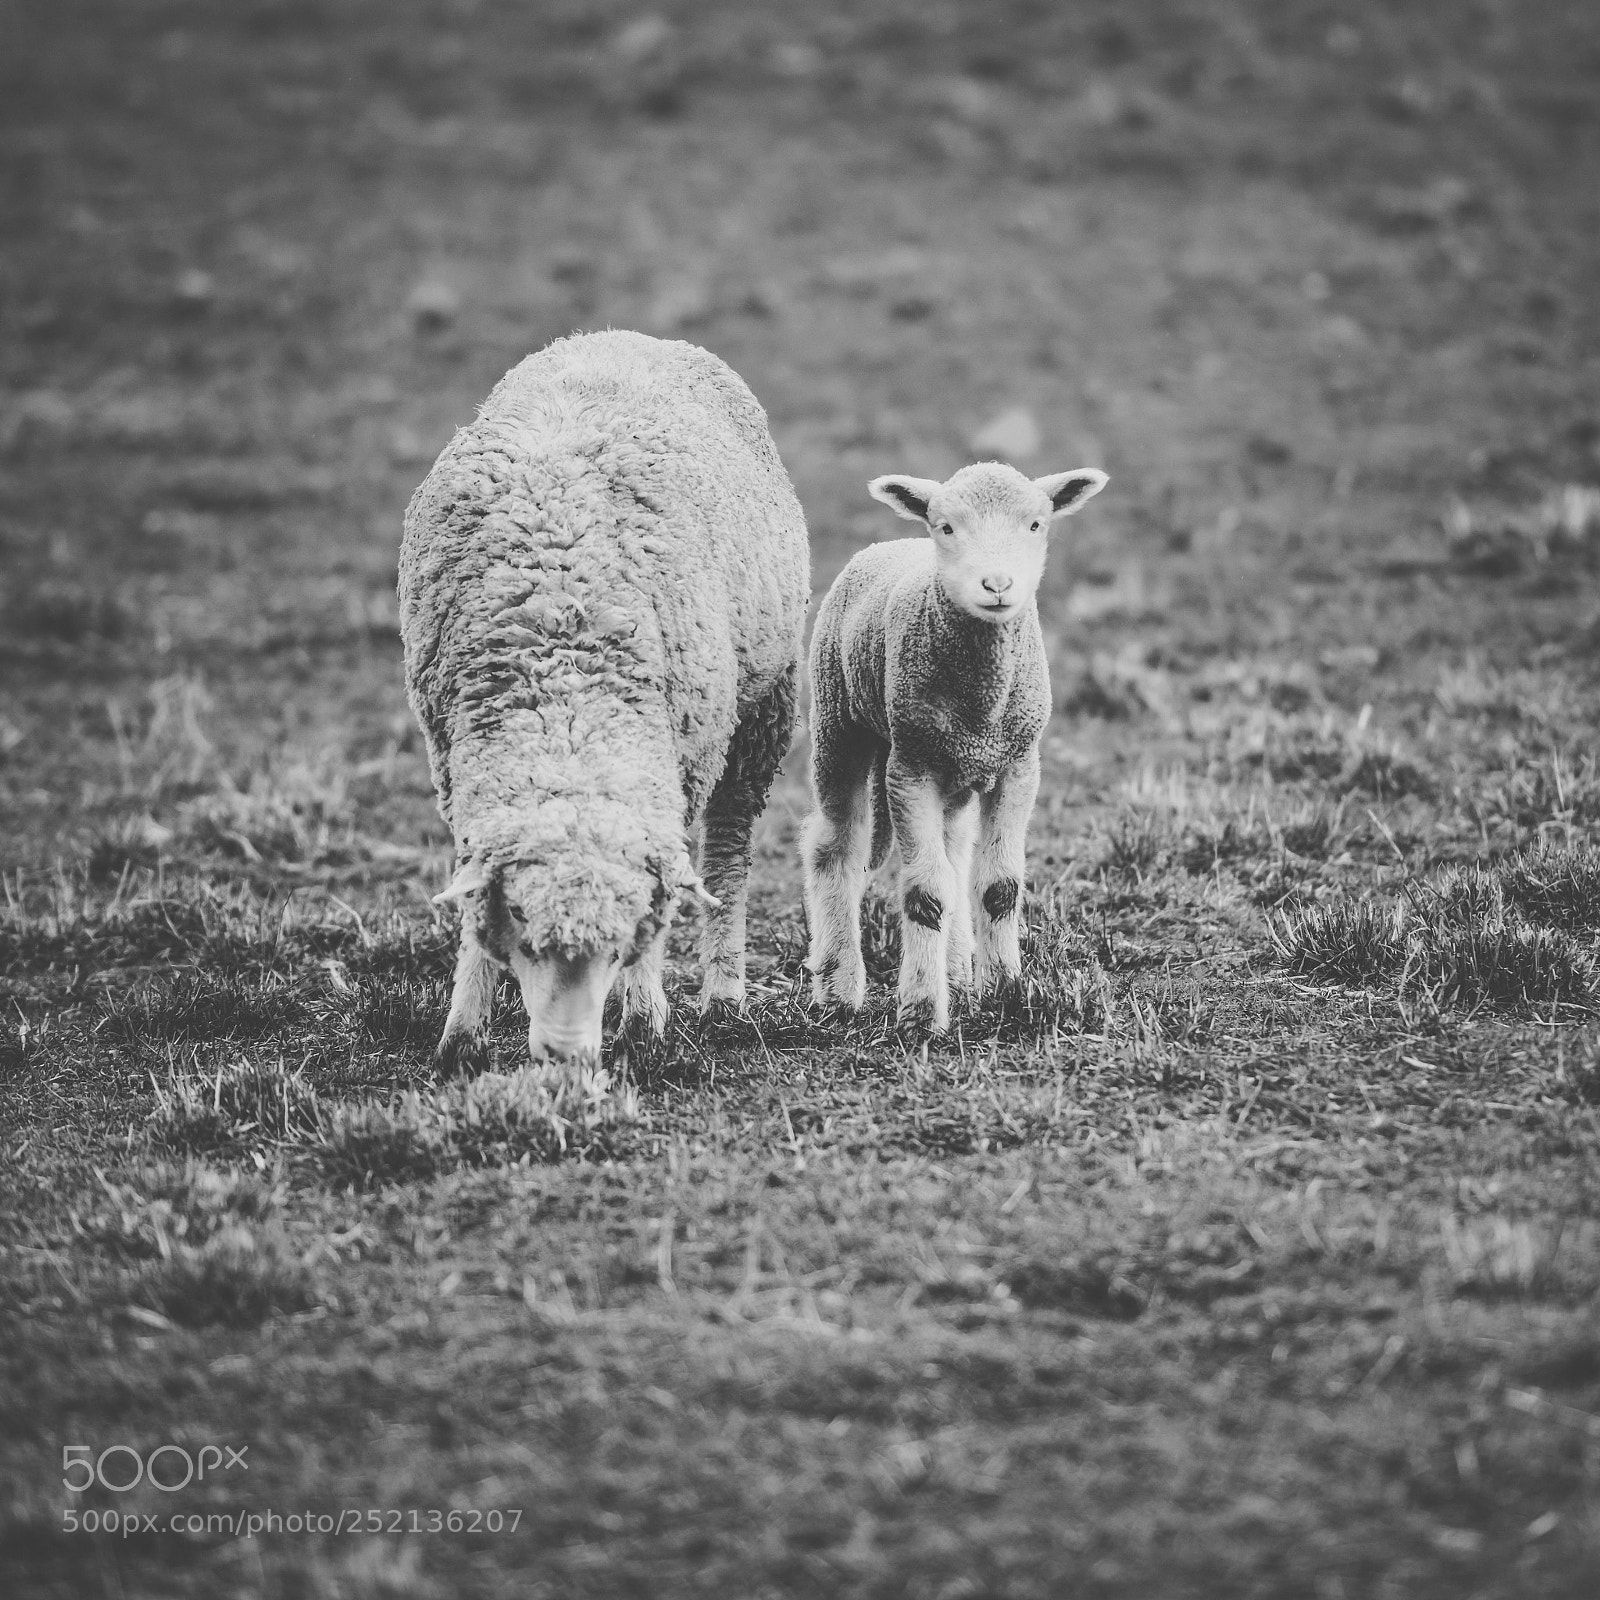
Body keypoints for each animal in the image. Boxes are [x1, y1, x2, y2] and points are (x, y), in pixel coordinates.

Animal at [399, 330, 809, 1069]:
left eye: (622, 940)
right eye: (521, 922)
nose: (566, 1056)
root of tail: (629, 335)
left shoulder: (681, 764)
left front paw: (644, 1020)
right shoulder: (449, 759)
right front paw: (464, 1030)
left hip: (763, 707)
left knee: (730, 846)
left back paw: (723, 994)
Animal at [801, 459, 1108, 1033]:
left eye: (1036, 524)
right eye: (946, 527)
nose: (997, 584)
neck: (980, 705)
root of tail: (891, 542)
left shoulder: (1018, 765)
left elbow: (999, 886)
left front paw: (1006, 991)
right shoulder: (911, 768)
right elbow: (925, 895)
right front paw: (921, 1011)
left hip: (954, 772)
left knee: (954, 853)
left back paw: (961, 973)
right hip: (838, 722)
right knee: (834, 847)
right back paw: (838, 987)